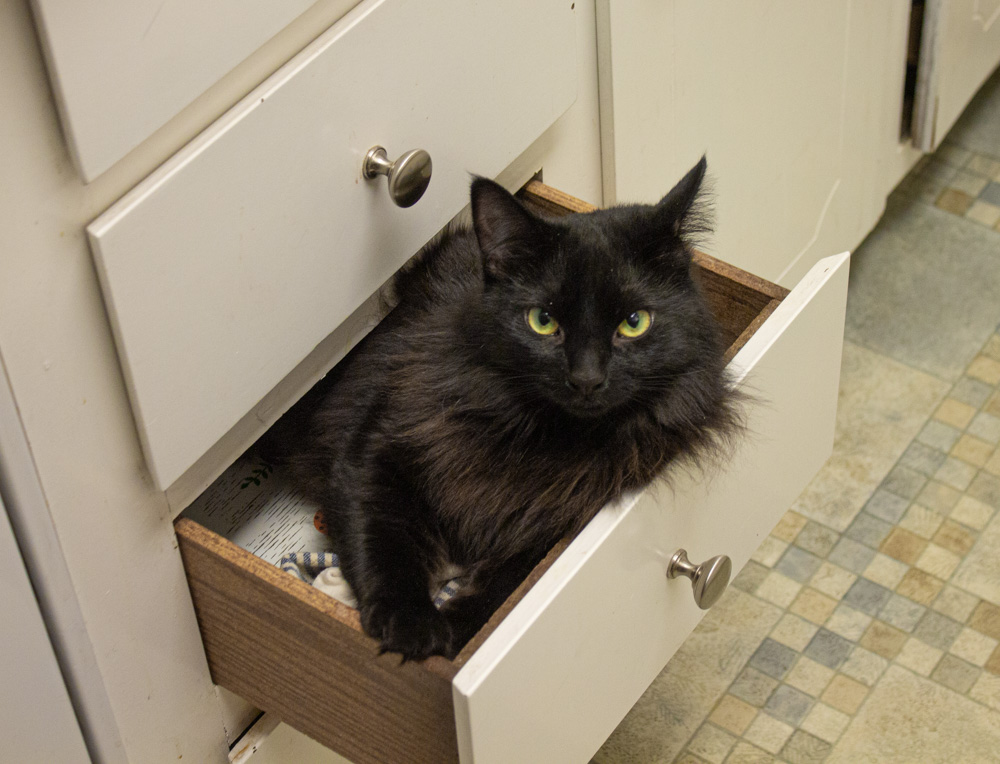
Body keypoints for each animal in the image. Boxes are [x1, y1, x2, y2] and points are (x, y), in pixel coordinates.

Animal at [266, 158, 744, 660]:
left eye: (634, 323)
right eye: (543, 321)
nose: (587, 379)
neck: (548, 438)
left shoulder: (552, 526)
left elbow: (502, 592)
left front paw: (454, 632)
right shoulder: (375, 447)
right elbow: (381, 540)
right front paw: (412, 625)